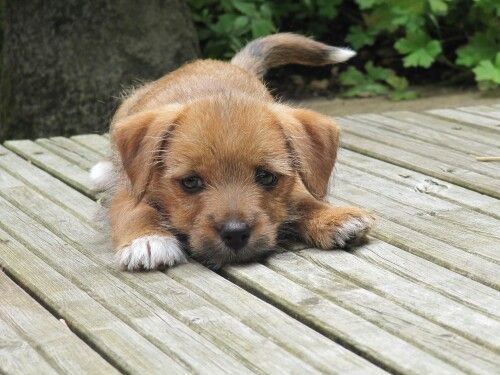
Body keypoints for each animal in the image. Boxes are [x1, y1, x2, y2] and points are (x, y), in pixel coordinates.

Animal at [90, 33, 374, 272]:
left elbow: (303, 197)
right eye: (190, 182)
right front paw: (148, 240)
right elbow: (133, 209)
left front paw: (333, 217)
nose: (235, 234)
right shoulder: (129, 187)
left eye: (267, 177)